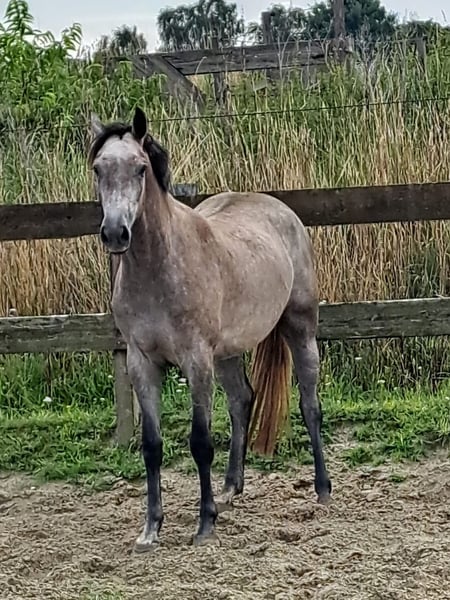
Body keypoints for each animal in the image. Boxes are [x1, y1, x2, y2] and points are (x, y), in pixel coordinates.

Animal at [88, 107, 331, 552]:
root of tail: (280, 210)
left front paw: (204, 524)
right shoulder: (141, 363)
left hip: (300, 330)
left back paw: (323, 489)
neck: (158, 268)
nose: (115, 233)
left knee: (310, 405)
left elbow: (200, 442)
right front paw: (151, 529)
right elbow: (151, 446)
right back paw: (231, 487)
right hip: (228, 354)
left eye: (140, 168)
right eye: (99, 168)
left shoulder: (195, 361)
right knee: (242, 401)